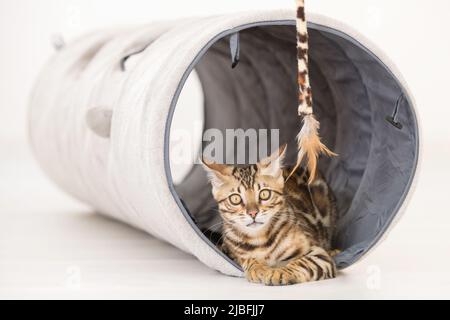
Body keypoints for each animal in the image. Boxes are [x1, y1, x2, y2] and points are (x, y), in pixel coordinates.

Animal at [201, 145, 338, 284]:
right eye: (235, 199)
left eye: (264, 194)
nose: (253, 213)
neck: (260, 240)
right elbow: (247, 258)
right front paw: (257, 267)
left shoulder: (318, 254)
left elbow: (302, 263)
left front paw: (279, 272)